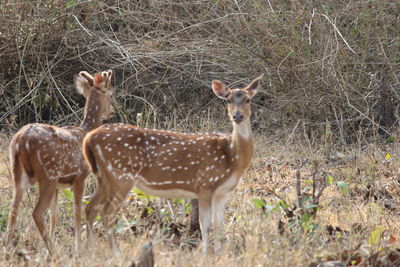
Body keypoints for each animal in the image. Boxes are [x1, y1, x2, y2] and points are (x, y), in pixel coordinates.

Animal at [6, 69, 115, 255]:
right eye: (109, 94)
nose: (112, 111)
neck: (84, 132)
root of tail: (22, 141)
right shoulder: (79, 176)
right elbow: (77, 211)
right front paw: (79, 248)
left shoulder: (59, 185)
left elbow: (55, 215)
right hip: (48, 174)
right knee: (37, 213)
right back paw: (53, 252)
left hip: (18, 173)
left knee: (13, 210)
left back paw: (7, 251)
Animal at [83, 75, 260, 253]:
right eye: (228, 100)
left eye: (248, 100)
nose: (237, 116)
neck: (232, 158)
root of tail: (89, 138)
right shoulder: (204, 185)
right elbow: (205, 225)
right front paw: (204, 253)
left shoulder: (221, 192)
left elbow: (219, 225)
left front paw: (218, 253)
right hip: (121, 175)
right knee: (107, 212)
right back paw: (116, 252)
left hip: (104, 177)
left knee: (91, 207)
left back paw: (88, 249)